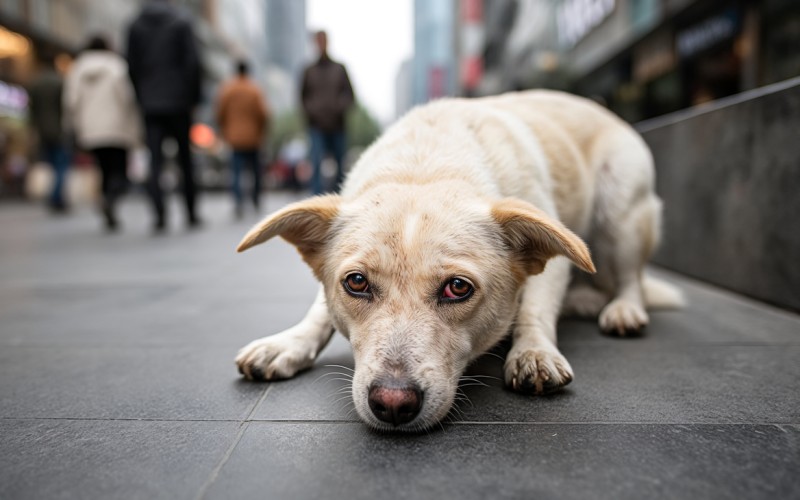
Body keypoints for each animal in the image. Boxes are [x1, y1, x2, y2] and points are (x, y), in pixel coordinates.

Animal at [231, 89, 680, 430]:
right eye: (356, 282)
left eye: (458, 288)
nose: (393, 403)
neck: (426, 165)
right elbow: (319, 312)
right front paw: (289, 343)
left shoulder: (554, 260)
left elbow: (533, 308)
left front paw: (533, 351)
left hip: (621, 210)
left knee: (630, 278)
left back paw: (623, 309)